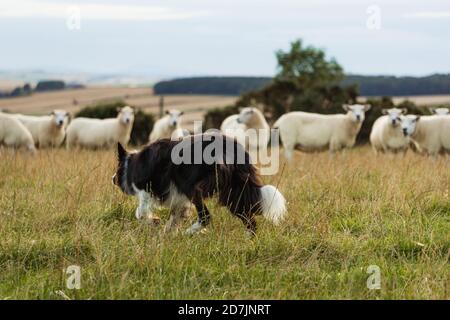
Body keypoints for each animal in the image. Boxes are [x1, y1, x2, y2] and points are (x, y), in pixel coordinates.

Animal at [114, 132, 286, 235]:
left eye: (117, 169)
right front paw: (166, 233)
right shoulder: (179, 201)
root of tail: (231, 148)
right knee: (250, 220)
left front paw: (154, 222)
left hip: (192, 186)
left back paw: (188, 233)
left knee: (206, 217)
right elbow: (174, 217)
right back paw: (249, 241)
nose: (112, 178)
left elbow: (141, 211)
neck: (132, 164)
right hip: (235, 191)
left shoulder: (147, 189)